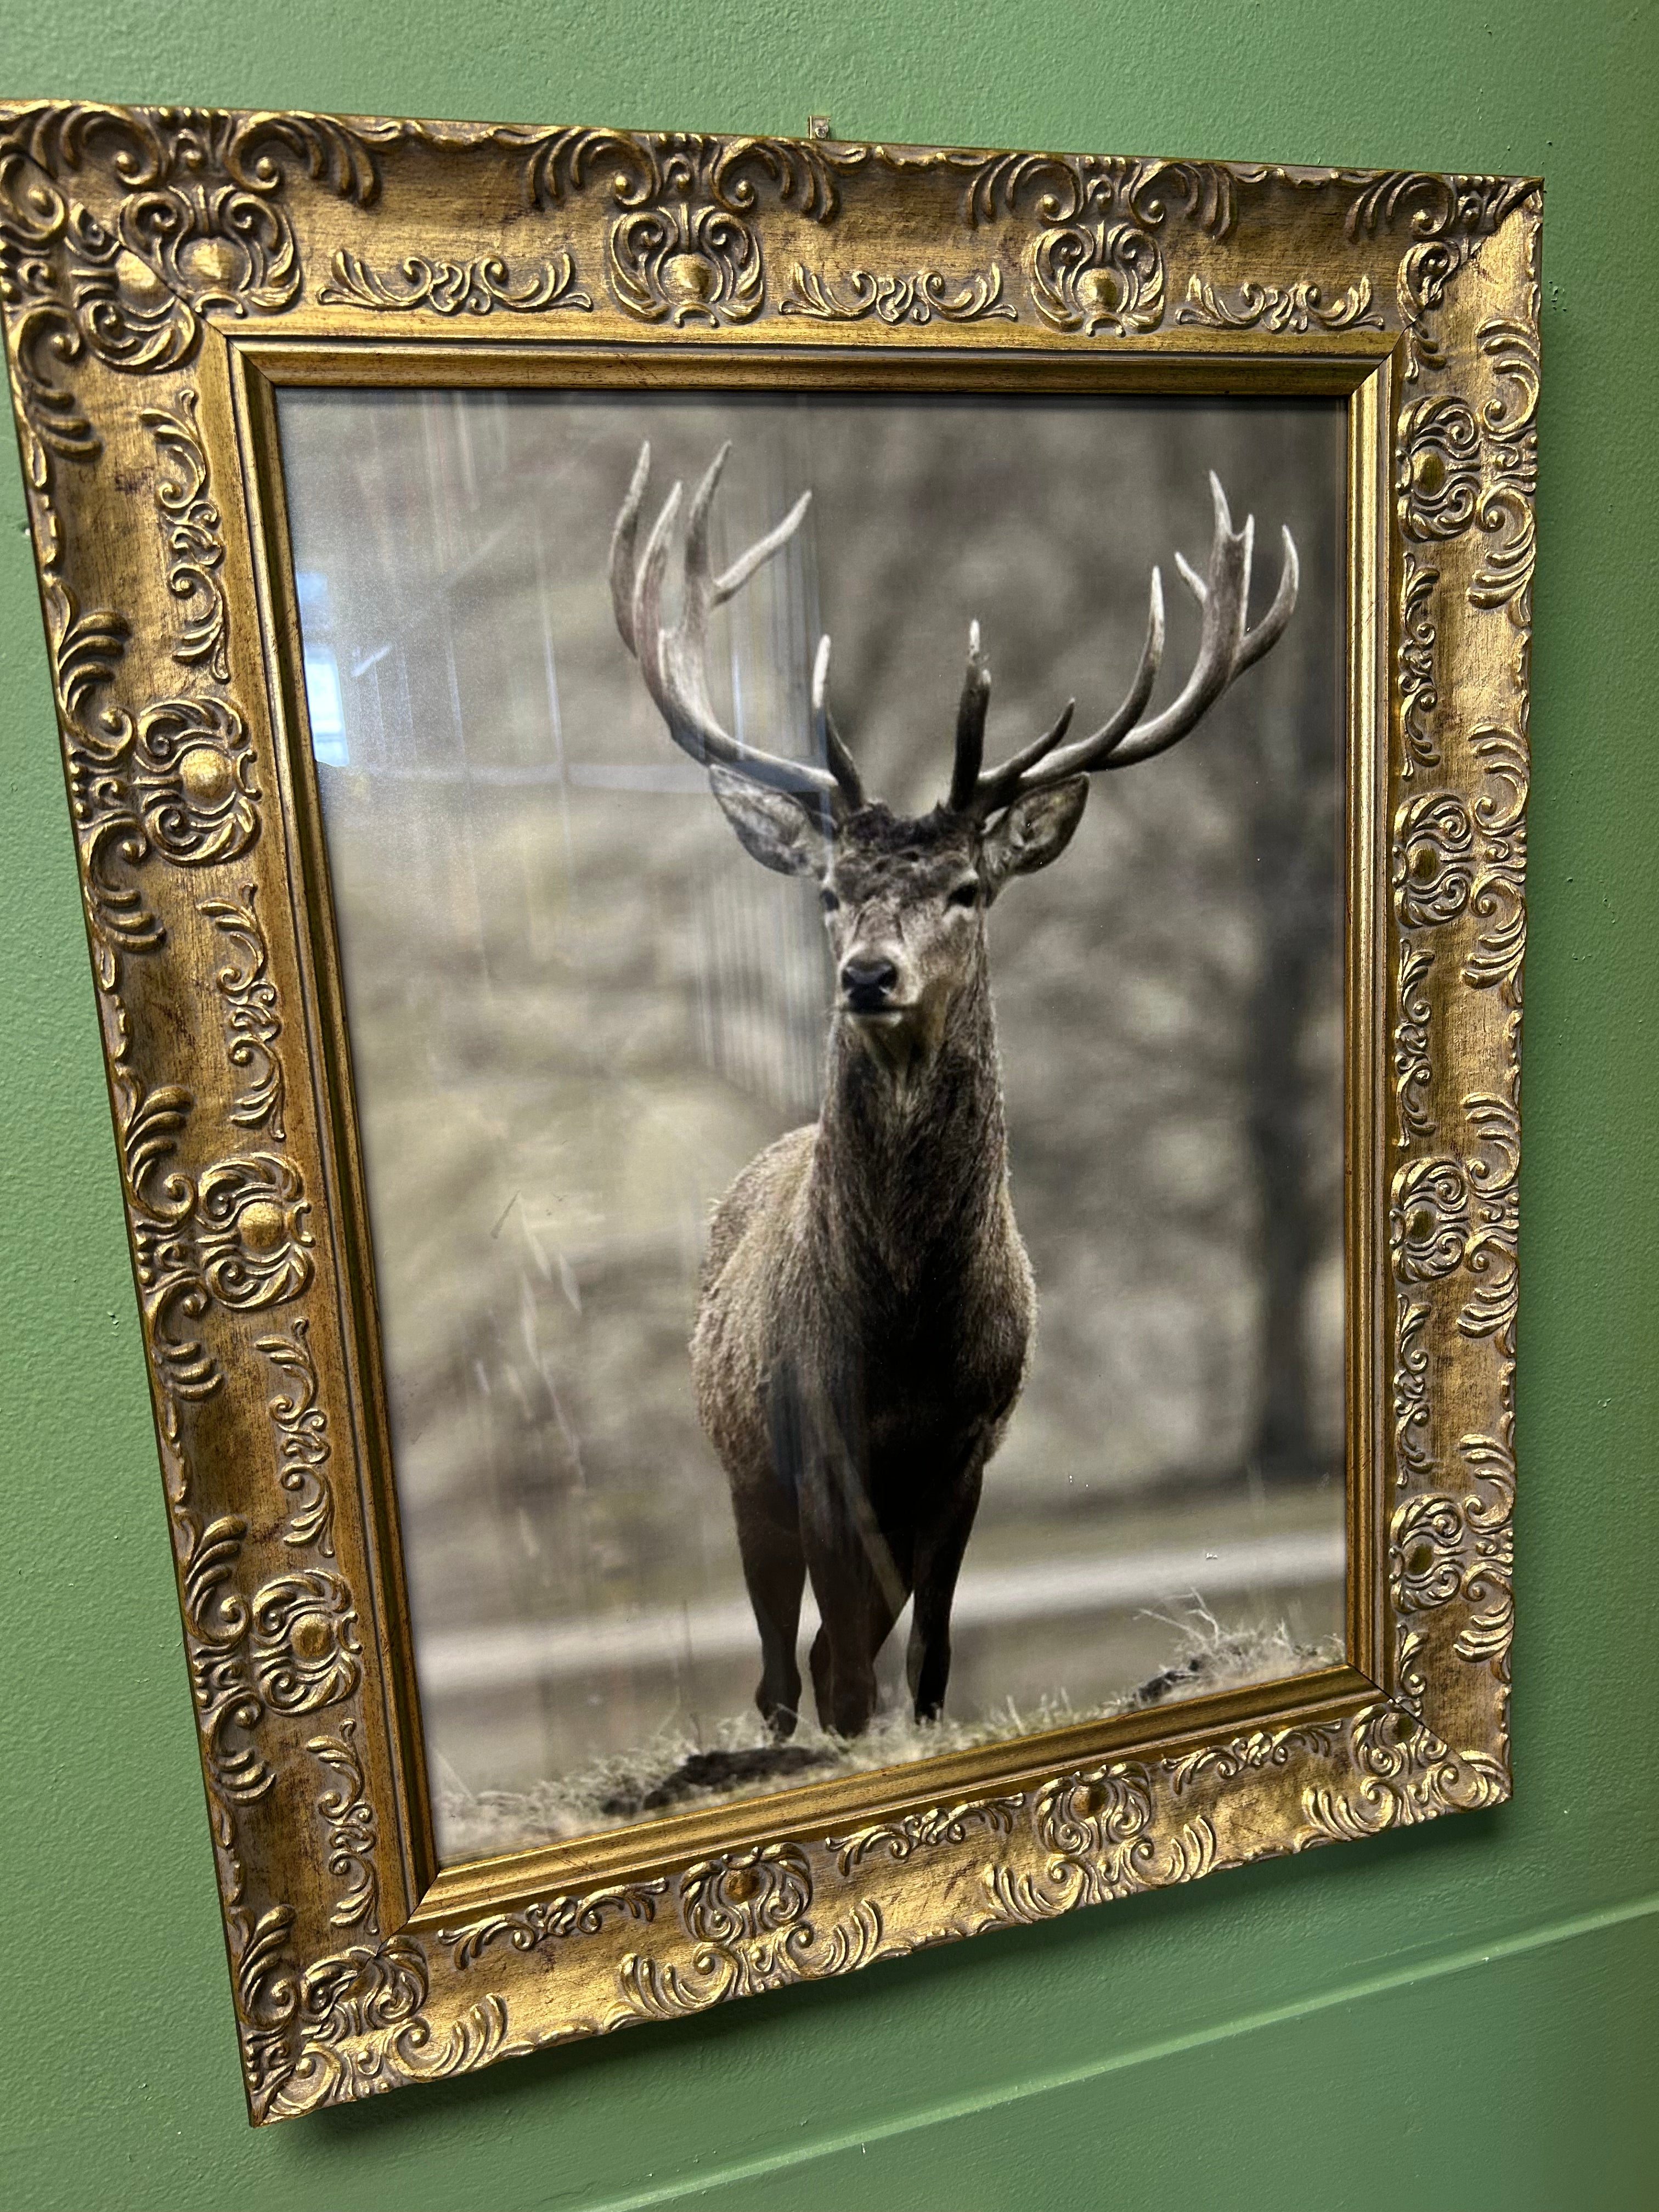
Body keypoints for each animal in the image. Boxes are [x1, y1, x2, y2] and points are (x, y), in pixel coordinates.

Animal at [609, 441, 1298, 1742]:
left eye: (970, 888)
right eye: (831, 889)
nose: (868, 974)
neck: (907, 1335)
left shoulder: (972, 1445)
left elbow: (925, 1652)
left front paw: (916, 1724)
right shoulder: (817, 1442)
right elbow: (843, 1664)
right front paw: (848, 1736)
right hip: (739, 1465)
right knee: (778, 1659)